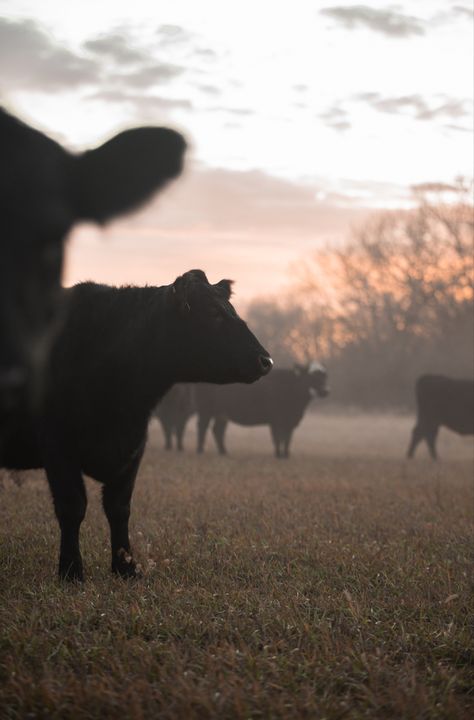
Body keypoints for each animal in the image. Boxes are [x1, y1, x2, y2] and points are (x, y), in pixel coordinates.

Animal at [1, 272, 272, 584]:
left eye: (232, 310)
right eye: (214, 313)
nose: (267, 360)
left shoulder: (133, 449)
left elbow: (119, 508)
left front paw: (126, 568)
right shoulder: (57, 445)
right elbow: (73, 506)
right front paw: (71, 571)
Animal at [194, 362, 328, 458]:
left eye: (325, 376)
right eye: (312, 375)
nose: (326, 391)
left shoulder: (290, 422)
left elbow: (288, 439)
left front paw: (286, 455)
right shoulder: (276, 420)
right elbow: (277, 438)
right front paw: (278, 455)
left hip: (221, 414)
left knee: (217, 430)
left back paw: (223, 452)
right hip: (205, 410)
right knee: (202, 427)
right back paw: (200, 450)